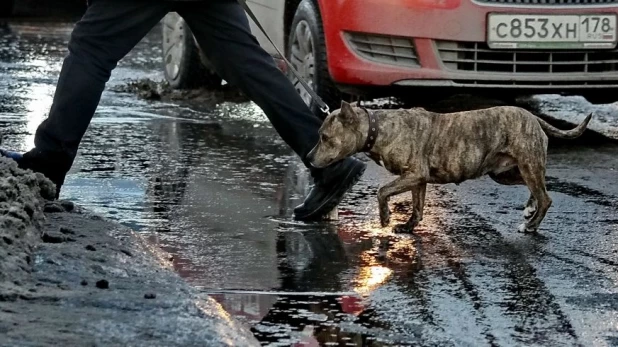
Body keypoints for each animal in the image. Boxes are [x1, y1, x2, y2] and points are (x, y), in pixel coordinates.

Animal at [308, 102, 592, 234]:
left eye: (324, 137)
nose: (309, 157)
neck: (377, 128)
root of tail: (534, 118)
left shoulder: (413, 175)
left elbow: (381, 191)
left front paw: (386, 217)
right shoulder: (418, 180)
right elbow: (417, 207)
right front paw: (408, 227)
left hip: (527, 163)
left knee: (546, 198)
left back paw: (531, 225)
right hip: (505, 172)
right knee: (537, 188)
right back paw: (529, 208)